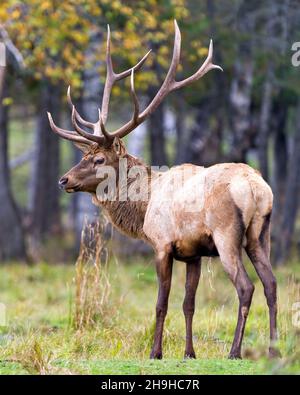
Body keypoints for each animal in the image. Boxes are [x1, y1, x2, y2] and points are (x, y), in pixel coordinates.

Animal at [47, 21, 278, 362]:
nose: (64, 180)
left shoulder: (162, 244)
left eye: (99, 159)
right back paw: (274, 349)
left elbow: (161, 303)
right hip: (261, 234)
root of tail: (255, 187)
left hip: (227, 235)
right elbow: (189, 304)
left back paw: (235, 351)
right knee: (271, 284)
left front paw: (156, 352)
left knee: (246, 287)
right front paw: (189, 353)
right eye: (84, 155)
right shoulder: (194, 253)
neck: (144, 205)